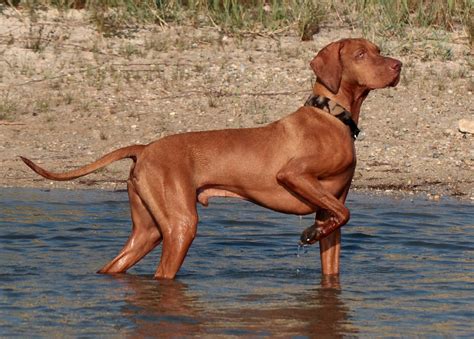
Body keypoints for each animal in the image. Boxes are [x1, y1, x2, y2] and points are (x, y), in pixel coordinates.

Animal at [21, 38, 400, 280]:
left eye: (378, 51)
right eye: (361, 54)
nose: (399, 65)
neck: (332, 115)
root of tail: (145, 148)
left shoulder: (328, 209)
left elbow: (335, 231)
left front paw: (314, 233)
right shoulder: (293, 175)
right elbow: (345, 213)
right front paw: (308, 233)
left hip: (149, 230)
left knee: (114, 266)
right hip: (180, 225)